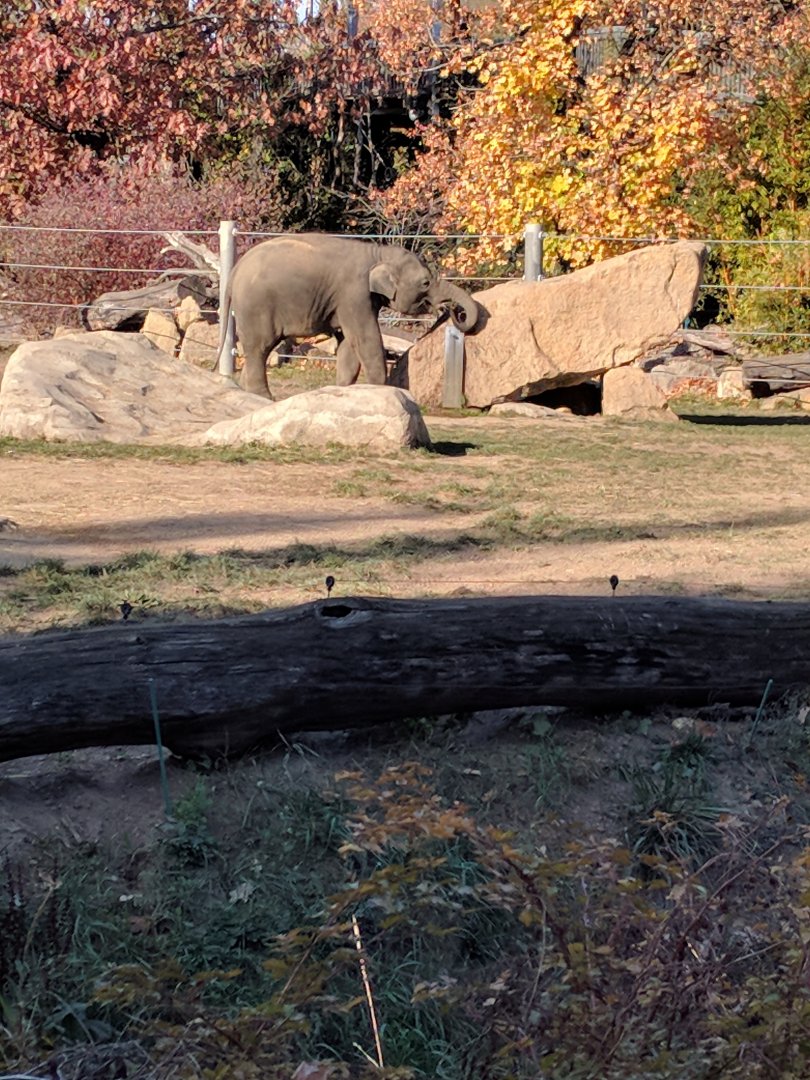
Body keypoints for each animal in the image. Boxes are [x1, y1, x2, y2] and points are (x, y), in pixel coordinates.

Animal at [216, 233, 481, 397]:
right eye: (425, 283)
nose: (453, 310)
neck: (378, 253)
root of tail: (236, 269)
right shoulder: (354, 293)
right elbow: (365, 338)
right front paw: (379, 389)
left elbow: (347, 344)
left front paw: (342, 390)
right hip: (256, 306)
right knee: (259, 348)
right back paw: (265, 397)